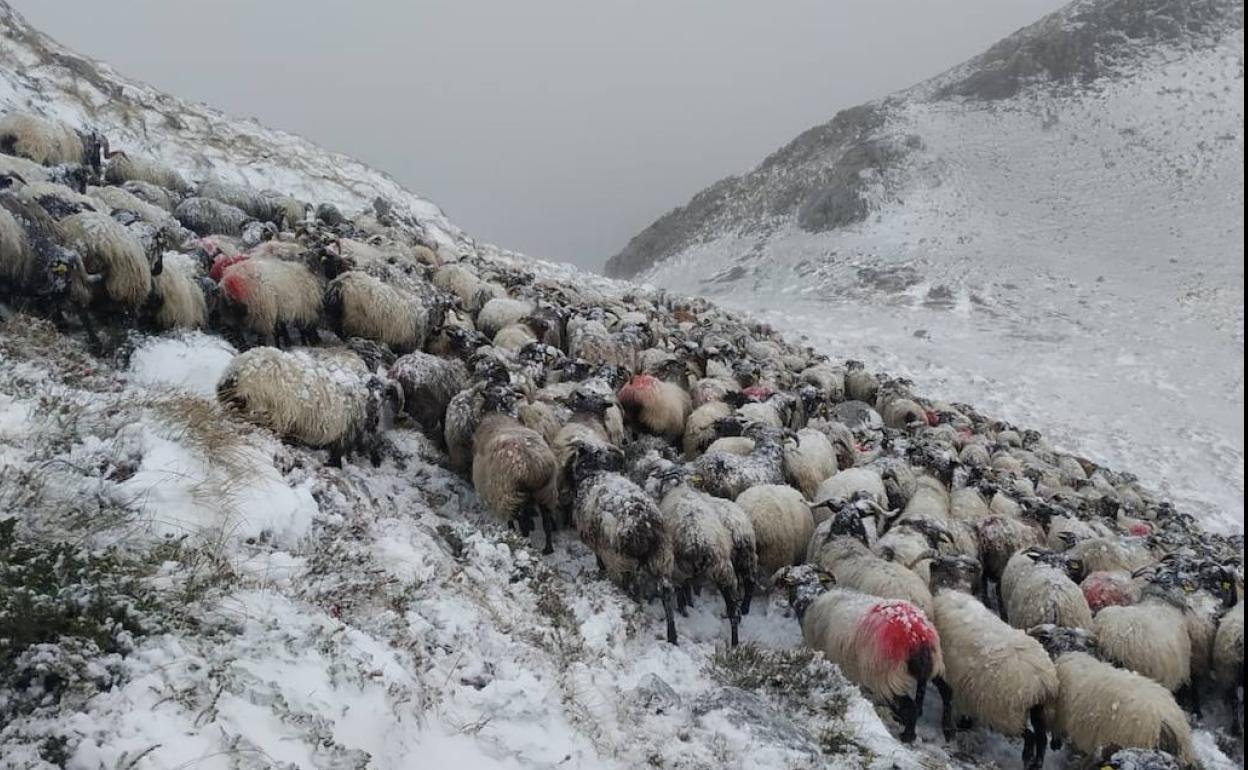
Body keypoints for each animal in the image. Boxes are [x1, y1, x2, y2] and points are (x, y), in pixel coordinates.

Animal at [469, 384, 559, 551]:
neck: (498, 414)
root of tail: (534, 466)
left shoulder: (498, 494)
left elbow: (510, 521)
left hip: (512, 495)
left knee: (523, 525)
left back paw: (525, 542)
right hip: (546, 492)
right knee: (546, 523)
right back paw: (547, 549)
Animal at [571, 439, 678, 643]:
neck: (594, 472)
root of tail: (643, 523)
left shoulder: (596, 543)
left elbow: (598, 559)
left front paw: (600, 571)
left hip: (621, 560)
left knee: (632, 589)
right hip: (662, 556)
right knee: (666, 592)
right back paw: (672, 636)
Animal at [658, 479, 753, 643]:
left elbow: (684, 590)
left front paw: (686, 606)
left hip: (676, 567)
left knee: (668, 596)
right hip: (740, 563)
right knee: (744, 592)